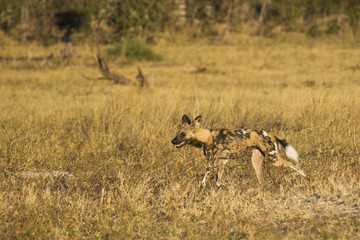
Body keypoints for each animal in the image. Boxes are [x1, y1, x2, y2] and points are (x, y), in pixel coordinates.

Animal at [172, 115, 306, 188]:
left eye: (183, 134)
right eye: (177, 133)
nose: (172, 141)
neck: (206, 137)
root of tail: (268, 133)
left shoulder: (211, 163)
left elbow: (203, 181)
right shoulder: (222, 161)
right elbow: (218, 181)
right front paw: (225, 186)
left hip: (274, 159)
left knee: (295, 165)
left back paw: (305, 177)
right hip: (256, 162)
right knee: (261, 180)